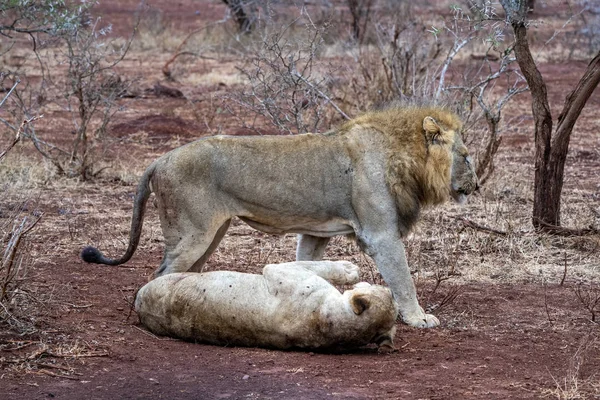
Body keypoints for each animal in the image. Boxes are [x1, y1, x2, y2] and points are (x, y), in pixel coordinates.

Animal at [83, 106, 478, 328]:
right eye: (467, 155)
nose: (475, 185)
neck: (406, 158)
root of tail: (158, 160)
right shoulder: (379, 233)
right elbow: (403, 278)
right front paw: (418, 318)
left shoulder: (317, 233)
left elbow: (307, 261)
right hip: (193, 233)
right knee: (160, 274)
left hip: (213, 232)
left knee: (184, 274)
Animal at [135, 260, 398, 350]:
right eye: (389, 294)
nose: (392, 289)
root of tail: (138, 303)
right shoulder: (281, 270)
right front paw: (351, 268)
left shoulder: (279, 270)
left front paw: (350, 269)